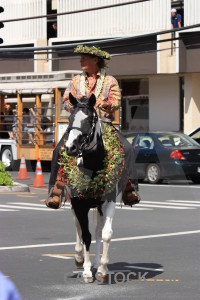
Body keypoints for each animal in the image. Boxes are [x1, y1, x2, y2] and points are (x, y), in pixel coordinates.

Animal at [64, 92, 123, 282]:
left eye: (90, 120)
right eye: (70, 118)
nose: (71, 147)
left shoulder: (108, 201)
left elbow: (105, 234)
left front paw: (102, 269)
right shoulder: (78, 203)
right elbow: (85, 235)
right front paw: (87, 271)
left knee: (98, 231)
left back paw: (97, 262)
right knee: (78, 227)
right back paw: (79, 258)